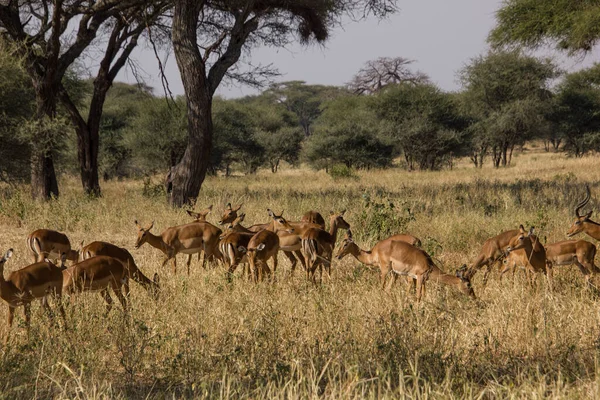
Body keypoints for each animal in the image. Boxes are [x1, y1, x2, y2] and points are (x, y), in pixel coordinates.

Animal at [338, 230, 474, 302]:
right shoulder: (416, 277)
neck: (372, 254)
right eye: (468, 284)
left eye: (345, 244)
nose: (337, 255)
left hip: (388, 271)